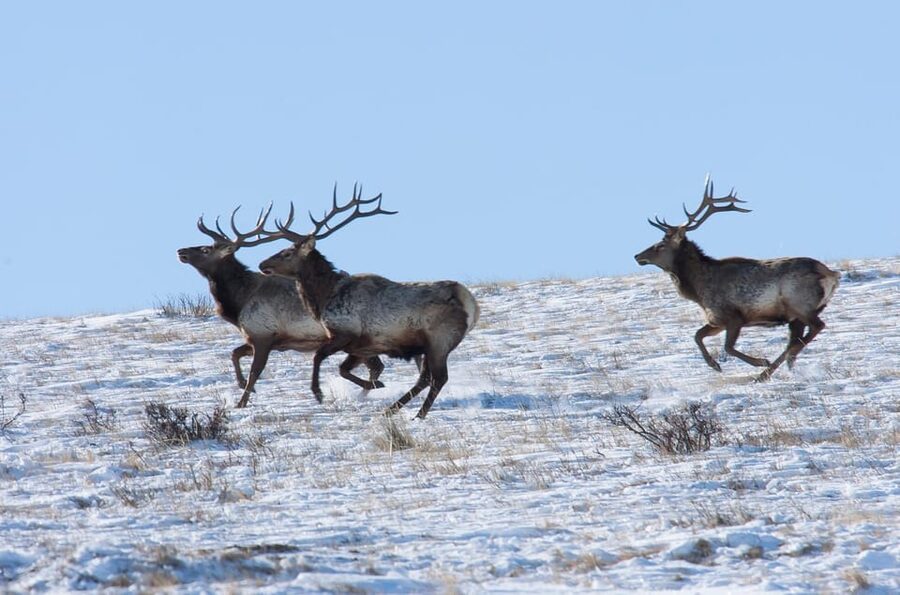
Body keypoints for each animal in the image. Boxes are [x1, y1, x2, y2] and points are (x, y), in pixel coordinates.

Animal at [177, 204, 384, 407]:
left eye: (206, 249)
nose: (181, 251)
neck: (238, 302)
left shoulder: (262, 334)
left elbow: (254, 372)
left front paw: (241, 402)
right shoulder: (264, 339)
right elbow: (235, 354)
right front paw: (243, 386)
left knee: (375, 366)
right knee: (375, 366)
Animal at [256, 185, 480, 419]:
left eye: (287, 253)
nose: (262, 264)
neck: (323, 298)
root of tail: (470, 303)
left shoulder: (345, 332)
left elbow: (319, 357)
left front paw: (318, 393)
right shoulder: (362, 346)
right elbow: (343, 369)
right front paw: (374, 385)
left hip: (439, 340)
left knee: (438, 378)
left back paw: (417, 415)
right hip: (430, 345)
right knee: (426, 378)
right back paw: (393, 410)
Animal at [634, 176, 840, 381]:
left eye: (660, 245)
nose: (637, 256)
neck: (698, 290)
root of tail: (830, 274)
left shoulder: (732, 316)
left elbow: (727, 347)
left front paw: (759, 361)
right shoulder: (717, 321)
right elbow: (697, 335)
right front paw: (715, 365)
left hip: (799, 304)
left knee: (814, 328)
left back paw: (767, 370)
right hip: (799, 315)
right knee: (796, 340)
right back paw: (780, 367)